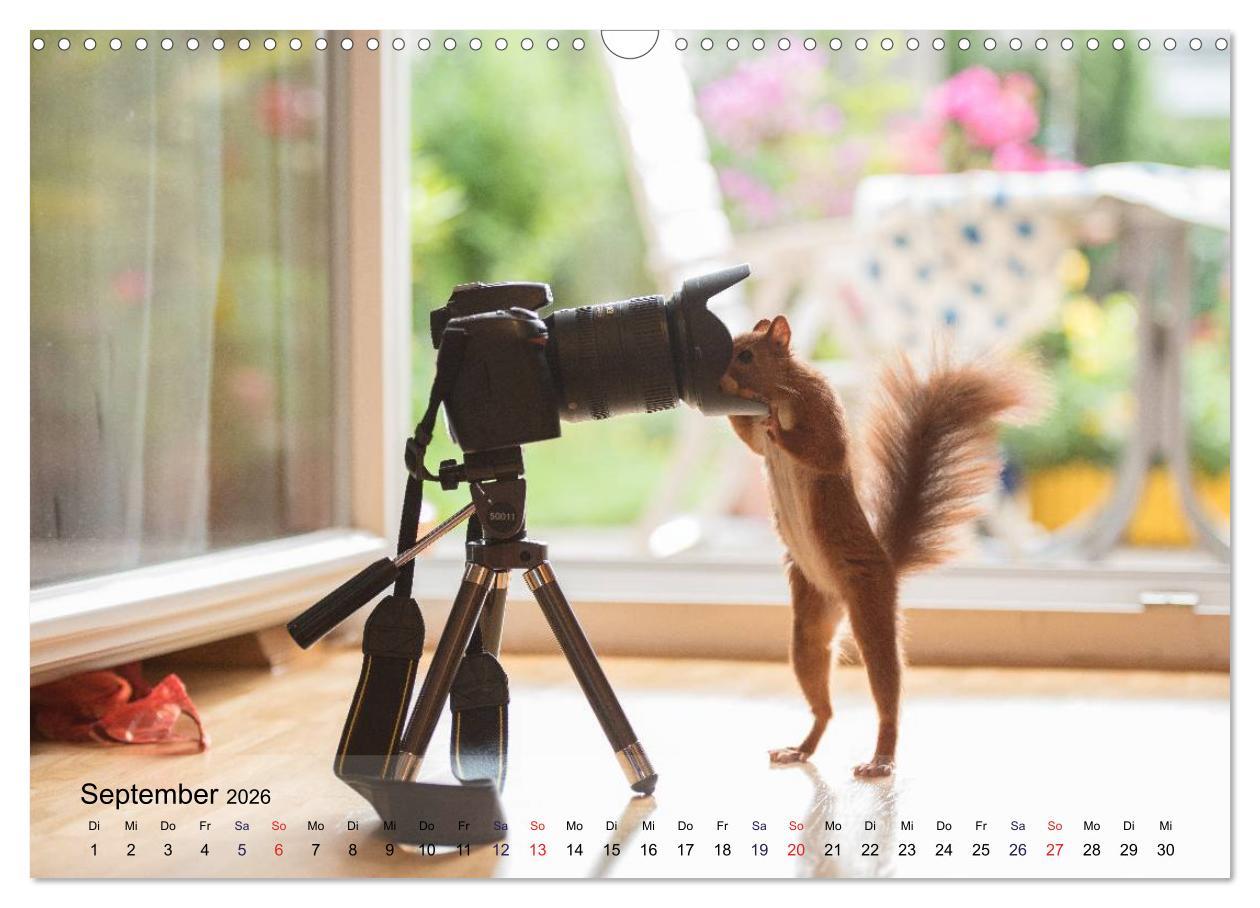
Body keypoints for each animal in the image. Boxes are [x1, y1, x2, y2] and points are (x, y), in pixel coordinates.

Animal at [721, 315, 1041, 778]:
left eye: (746, 354)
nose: (717, 368)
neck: (775, 391)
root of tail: (884, 564)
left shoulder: (819, 405)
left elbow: (826, 450)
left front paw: (777, 427)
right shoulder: (755, 435)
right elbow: (749, 438)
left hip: (869, 600)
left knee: (885, 689)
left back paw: (881, 758)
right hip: (810, 619)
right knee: (822, 701)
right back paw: (801, 747)